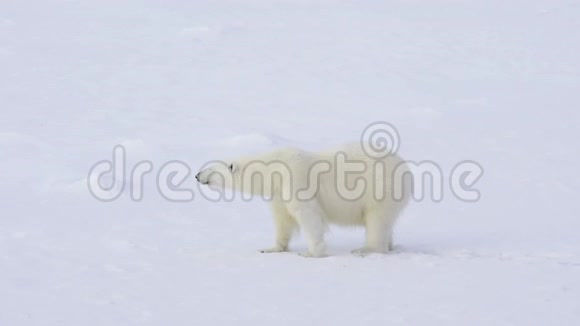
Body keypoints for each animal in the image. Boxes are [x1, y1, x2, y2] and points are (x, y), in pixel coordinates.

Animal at [196, 143, 412, 258]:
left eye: (210, 169)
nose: (197, 175)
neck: (273, 170)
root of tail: (405, 168)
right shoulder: (278, 192)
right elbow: (283, 220)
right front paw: (271, 248)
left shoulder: (294, 178)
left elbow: (307, 214)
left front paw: (311, 253)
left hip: (380, 190)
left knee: (376, 220)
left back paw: (365, 249)